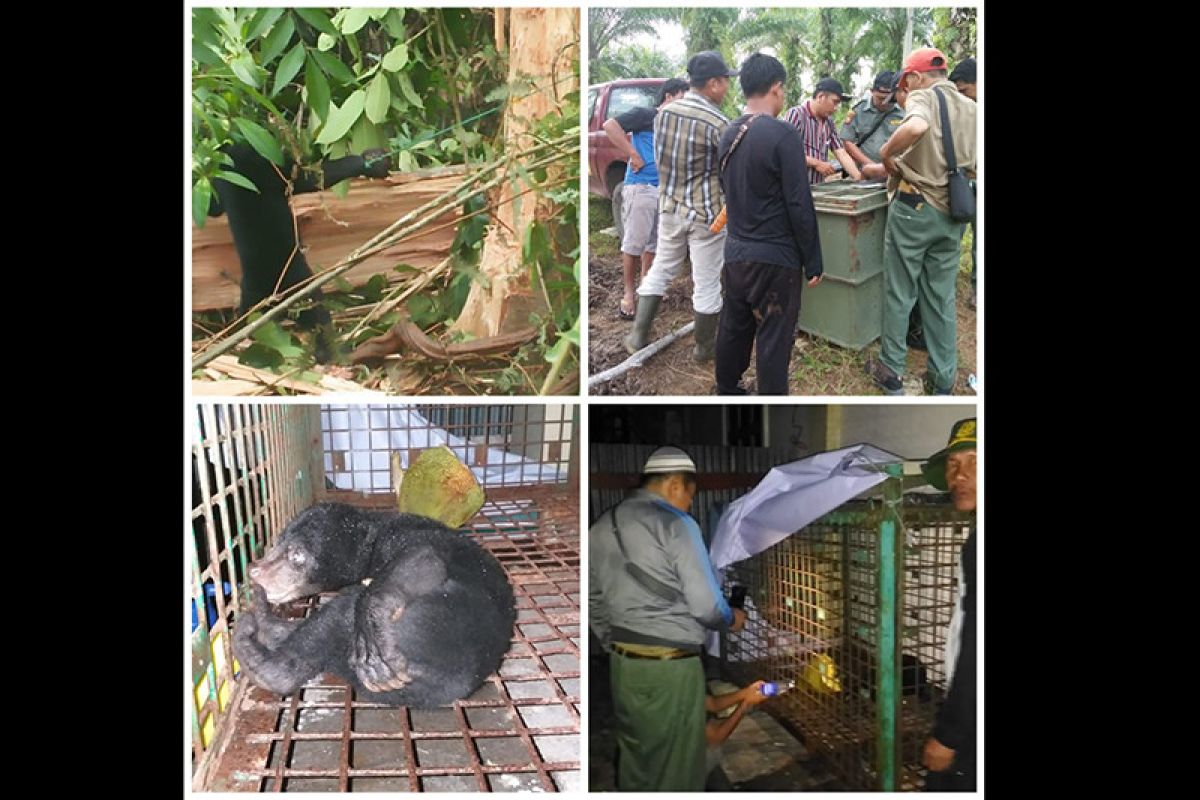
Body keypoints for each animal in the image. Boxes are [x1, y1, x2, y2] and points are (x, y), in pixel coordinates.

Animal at [232, 503, 516, 710]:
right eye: (277, 542)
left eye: (297, 555)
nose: (255, 571)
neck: (378, 529)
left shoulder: (406, 536)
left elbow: (425, 557)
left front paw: (372, 629)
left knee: (342, 610)